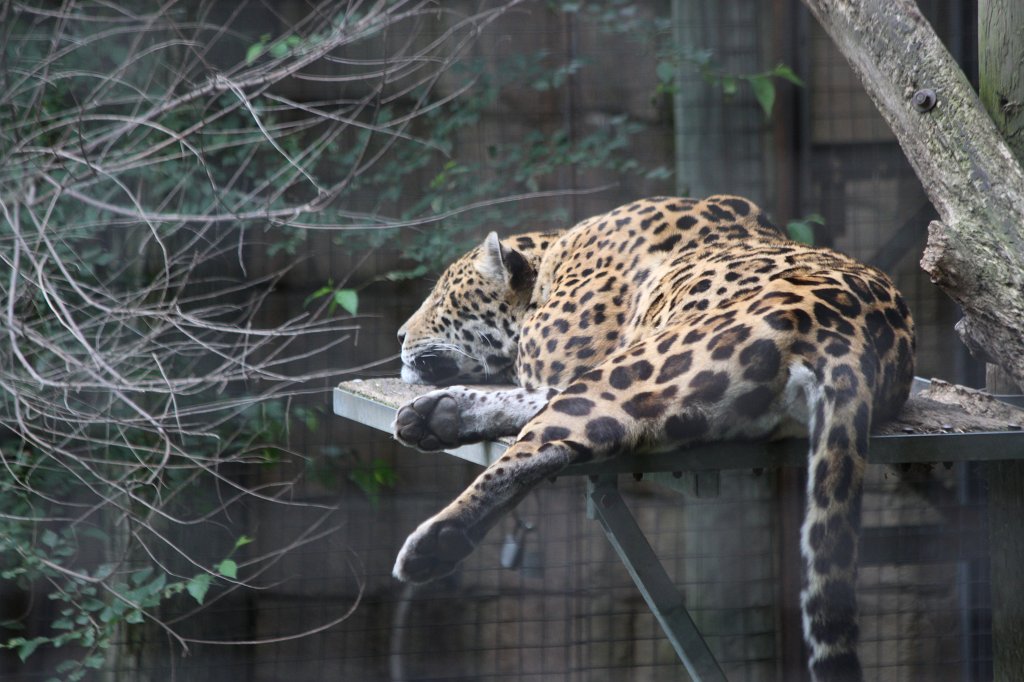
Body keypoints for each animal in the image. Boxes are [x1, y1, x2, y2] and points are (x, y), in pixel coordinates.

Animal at [390, 195, 915, 682]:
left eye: (441, 298)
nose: (398, 335)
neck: (556, 258)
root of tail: (854, 339)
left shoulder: (569, 361)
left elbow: (532, 387)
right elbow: (528, 393)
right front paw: (442, 409)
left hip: (640, 368)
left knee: (539, 447)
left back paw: (434, 542)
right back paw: (439, 416)